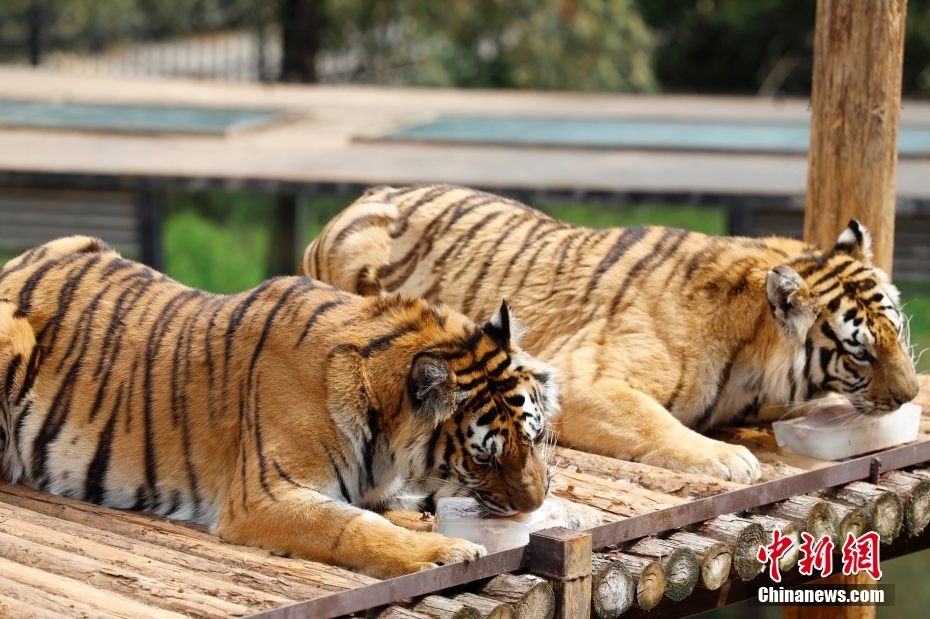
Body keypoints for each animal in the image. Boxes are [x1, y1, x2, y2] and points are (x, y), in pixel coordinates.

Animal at [0, 235, 560, 580]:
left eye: (533, 439)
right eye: (484, 458)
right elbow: (354, 527)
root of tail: (17, 263)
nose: (533, 505)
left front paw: (423, 523)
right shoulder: (266, 495)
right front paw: (442, 549)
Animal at [300, 184, 916, 484]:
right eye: (860, 352)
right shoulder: (580, 378)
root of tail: (358, 200)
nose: (911, 395)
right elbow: (655, 422)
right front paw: (729, 458)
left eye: (900, 331)